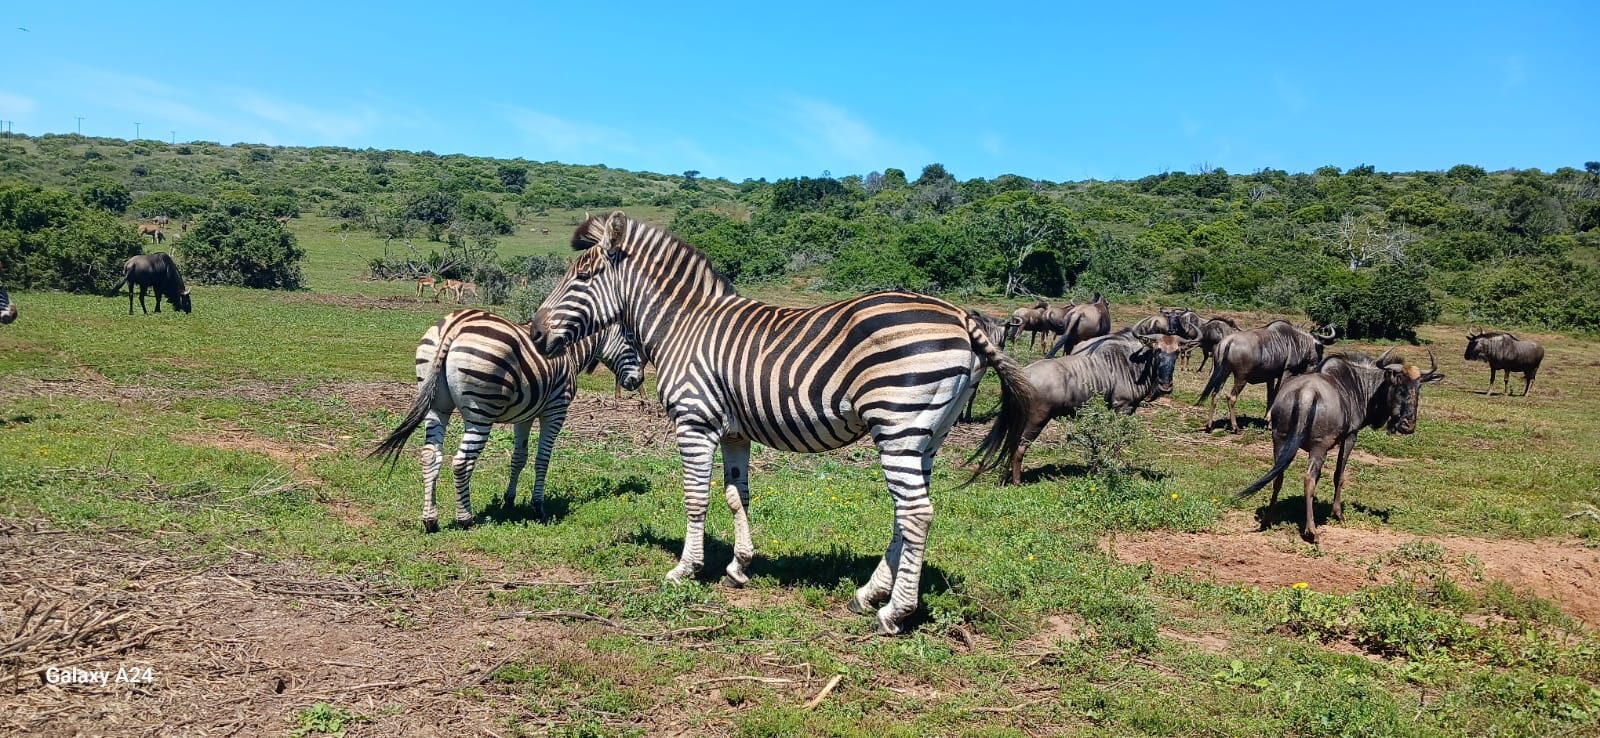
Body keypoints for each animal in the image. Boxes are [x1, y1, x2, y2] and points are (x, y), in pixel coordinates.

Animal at [371, 309, 644, 531]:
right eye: (632, 340)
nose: (638, 380)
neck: (570, 354)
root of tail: (455, 325)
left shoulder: (524, 416)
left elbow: (518, 458)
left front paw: (509, 501)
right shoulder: (555, 410)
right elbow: (542, 459)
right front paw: (538, 506)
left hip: (437, 407)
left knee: (430, 455)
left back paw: (430, 519)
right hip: (480, 412)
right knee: (461, 462)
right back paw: (465, 518)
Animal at [525, 212, 1034, 636]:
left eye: (582, 276)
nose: (534, 333)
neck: (682, 325)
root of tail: (962, 315)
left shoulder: (694, 420)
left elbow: (695, 498)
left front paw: (686, 569)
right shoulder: (733, 430)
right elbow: (736, 495)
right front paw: (739, 567)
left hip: (898, 425)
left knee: (916, 514)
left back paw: (894, 612)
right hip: (928, 434)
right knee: (906, 514)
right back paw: (869, 594)